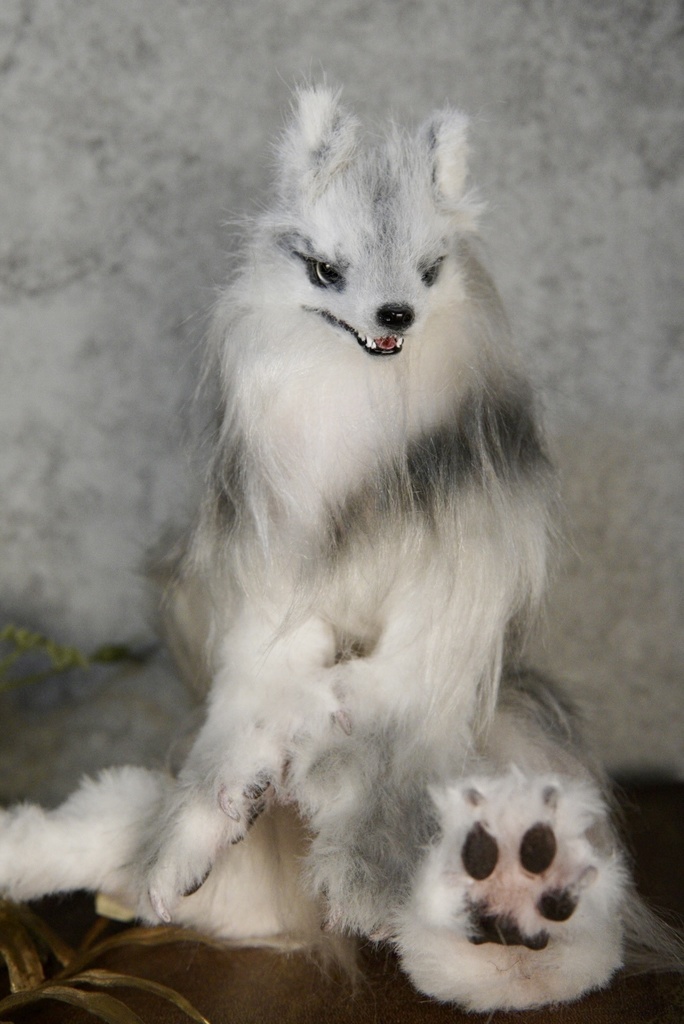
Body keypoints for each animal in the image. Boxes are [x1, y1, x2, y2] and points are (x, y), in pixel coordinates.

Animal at [0, 87, 676, 1011]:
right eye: (327, 271)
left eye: (429, 270)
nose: (395, 314)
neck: (357, 400)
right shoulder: (272, 603)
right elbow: (260, 695)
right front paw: (228, 794)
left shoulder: (440, 613)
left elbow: (383, 721)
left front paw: (358, 823)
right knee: (125, 823)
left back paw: (506, 883)